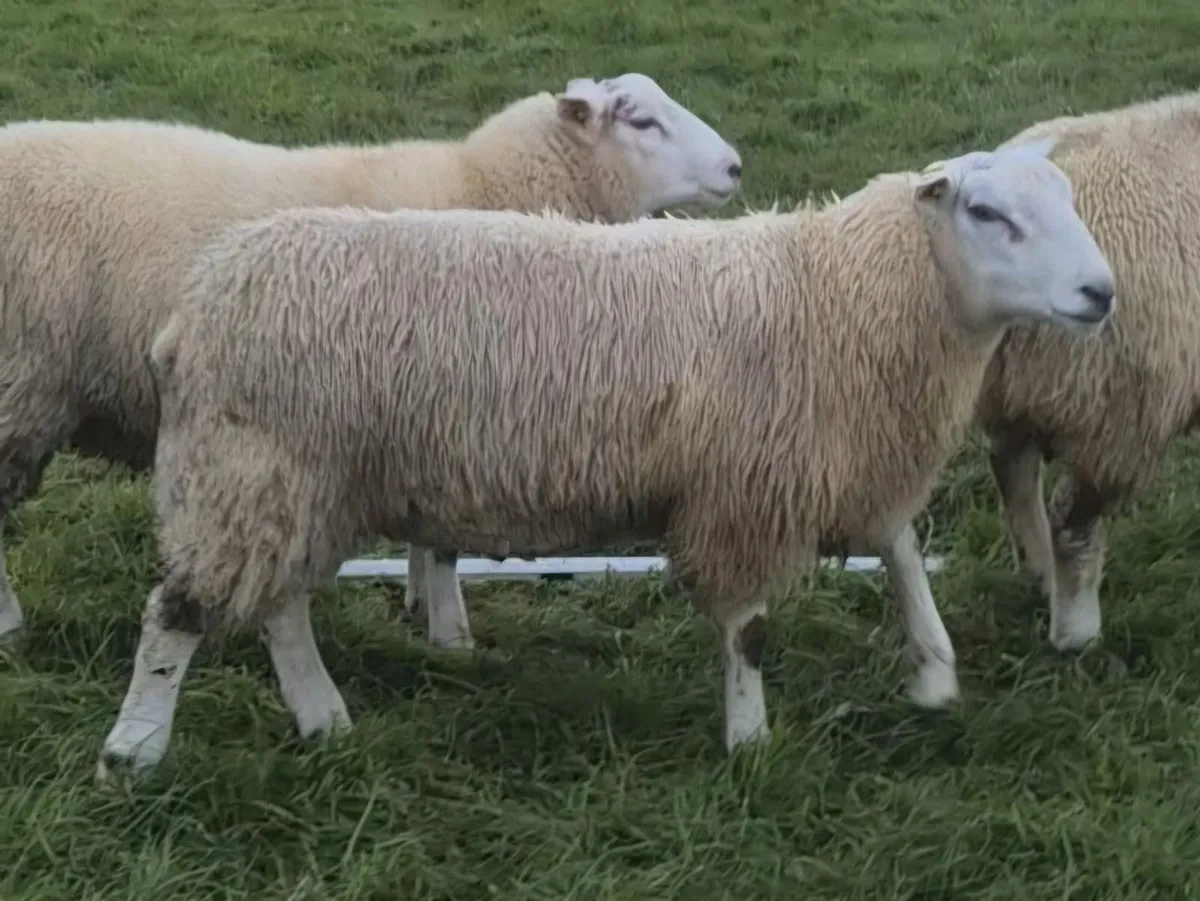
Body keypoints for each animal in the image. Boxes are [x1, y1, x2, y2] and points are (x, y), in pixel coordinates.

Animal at [0, 72, 744, 648]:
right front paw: (451, 633)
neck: (481, 182)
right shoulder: (454, 402)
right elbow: (444, 547)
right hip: (21, 384)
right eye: (642, 120)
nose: (737, 165)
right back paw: (10, 627)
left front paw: (419, 601)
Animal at [94, 139, 1116, 779]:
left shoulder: (836, 455)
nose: (1102, 294)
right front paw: (750, 741)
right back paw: (133, 751)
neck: (841, 294)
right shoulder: (743, 490)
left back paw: (322, 717)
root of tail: (191, 311)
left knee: (278, 606)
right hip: (251, 463)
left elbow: (901, 550)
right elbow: (749, 628)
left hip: (289, 475)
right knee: (177, 612)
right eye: (985, 211)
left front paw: (935, 673)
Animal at [975, 89, 1200, 652]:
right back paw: (1076, 633)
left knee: (1012, 471)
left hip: (1015, 394)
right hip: (1117, 409)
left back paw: (1041, 576)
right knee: (1072, 522)